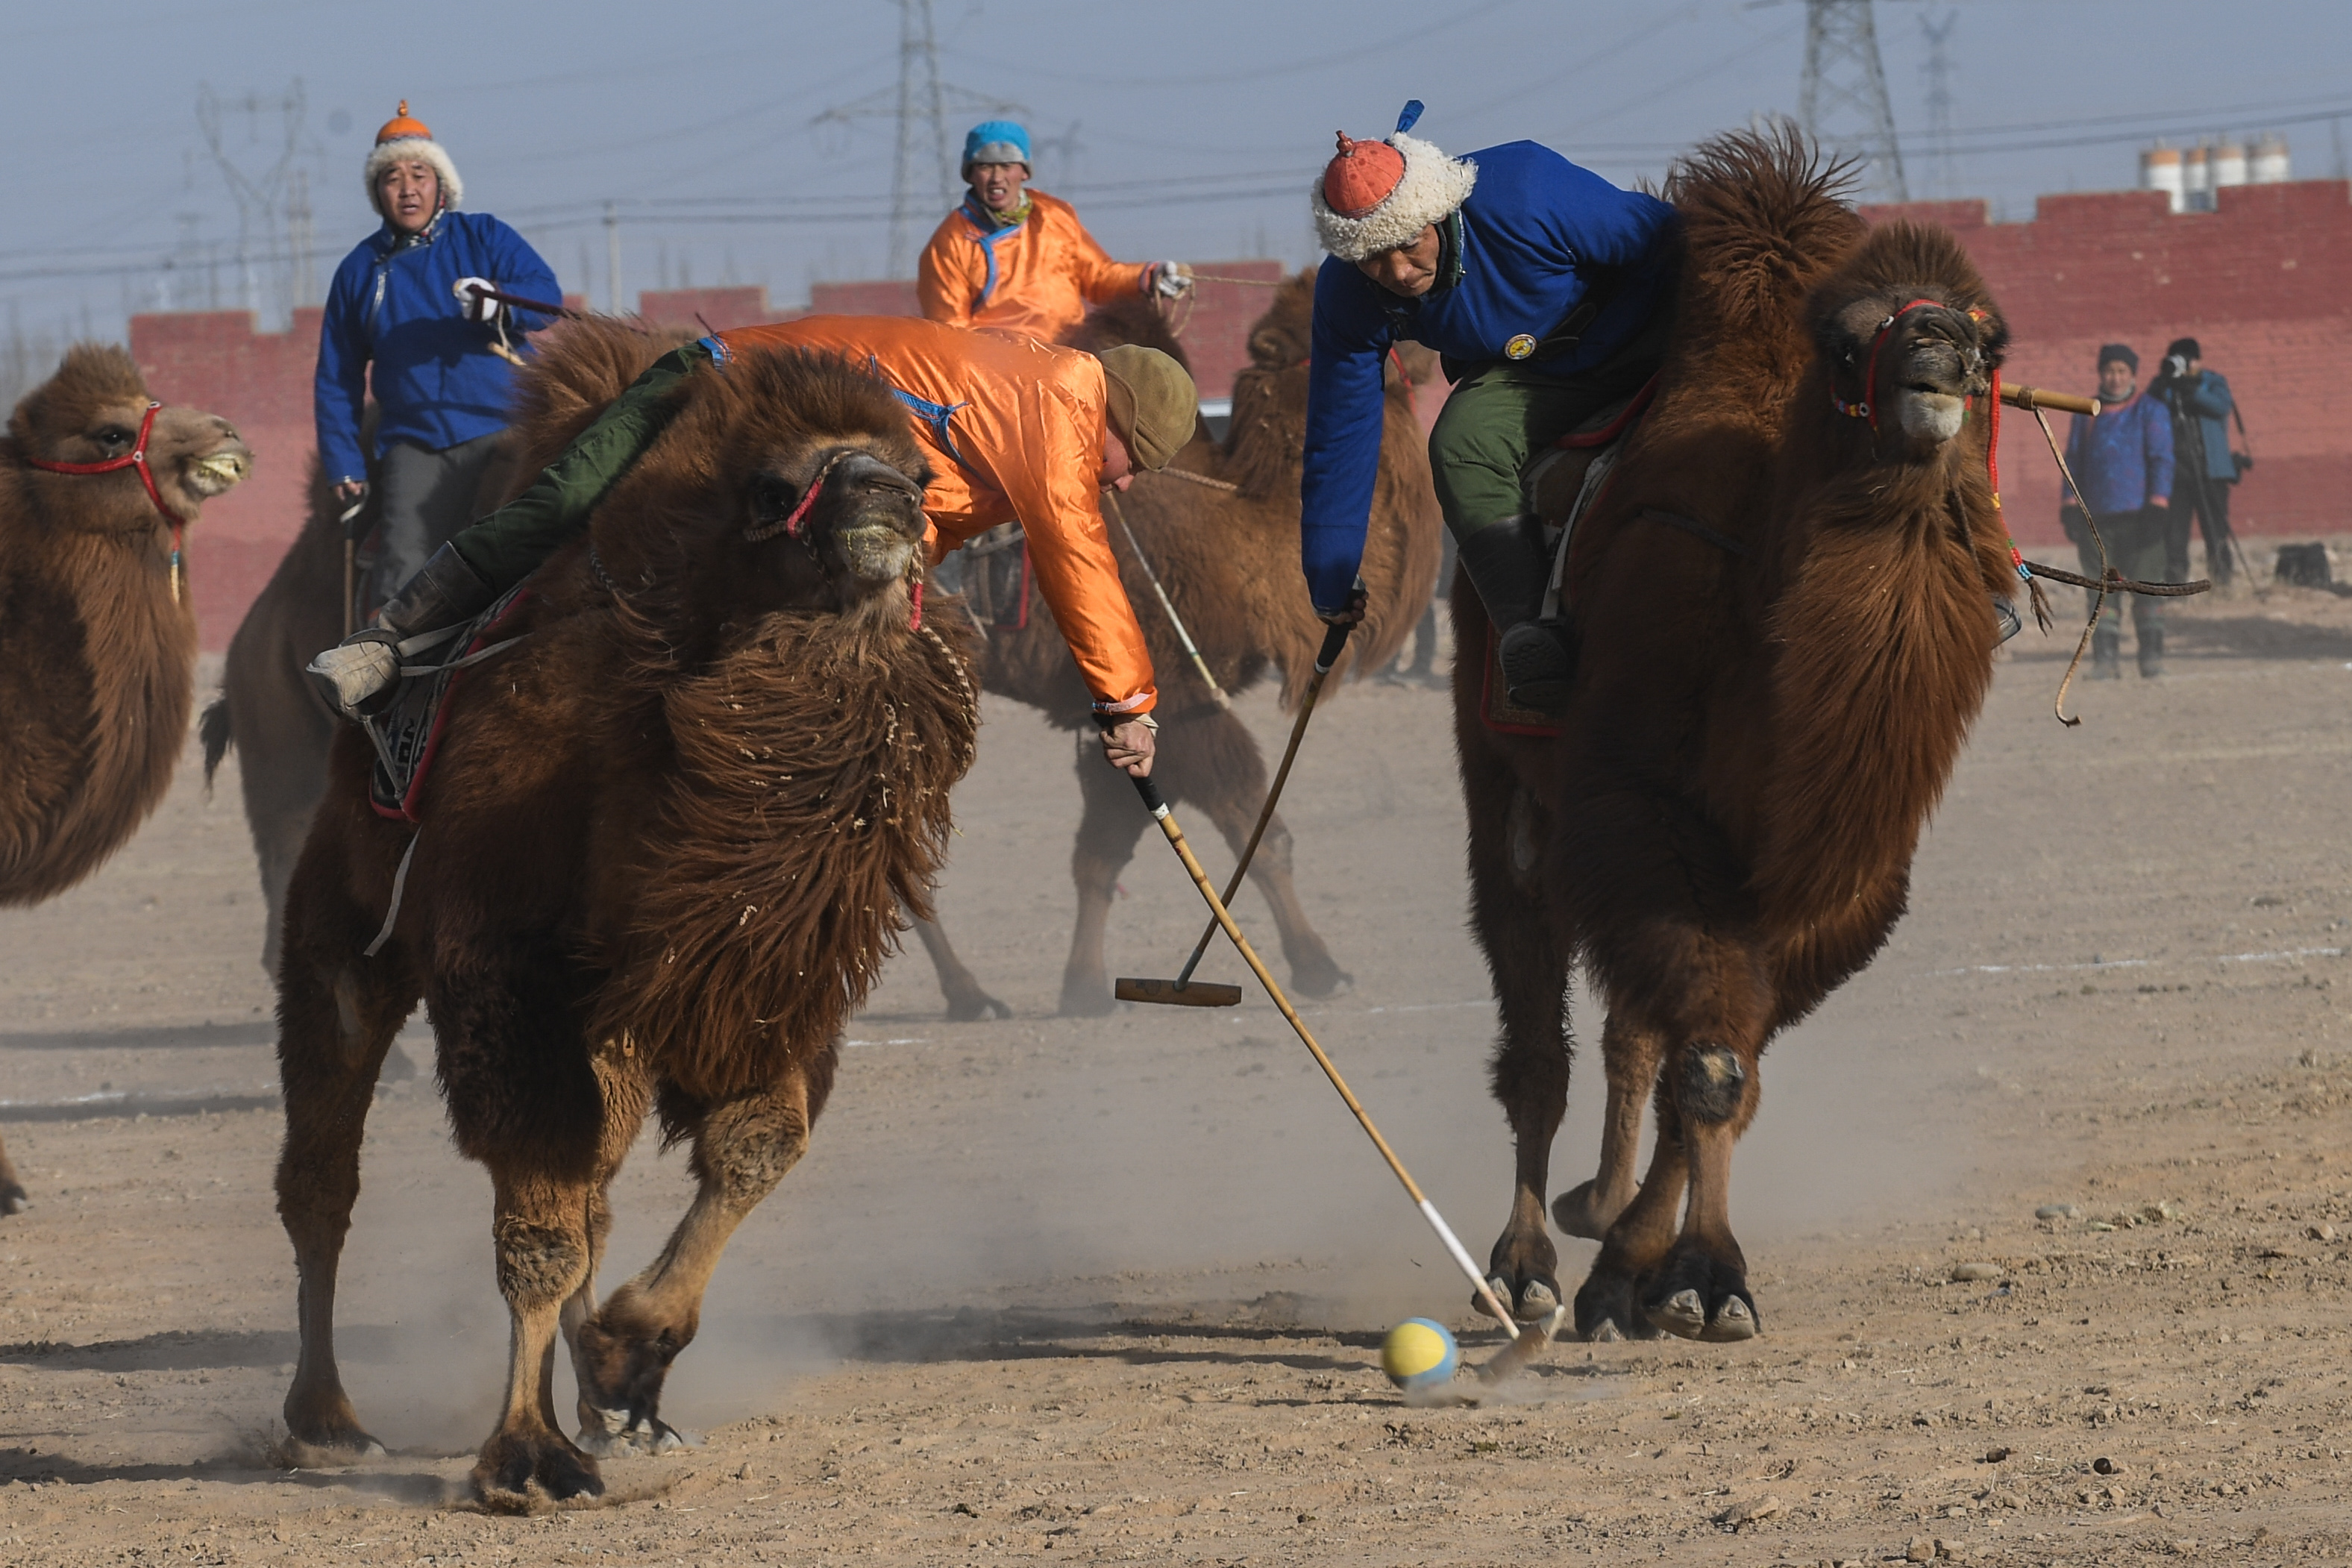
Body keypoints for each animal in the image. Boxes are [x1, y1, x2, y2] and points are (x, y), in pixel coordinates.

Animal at [272, 322, 973, 1504]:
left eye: (921, 474)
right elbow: (540, 1227)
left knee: (592, 1193)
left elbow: (755, 1146)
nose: (883, 498)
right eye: (775, 487)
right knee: (326, 1174)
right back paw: (327, 1420)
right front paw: (528, 1455)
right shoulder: (512, 981)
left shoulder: (754, 983)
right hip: (339, 925)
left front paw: (628, 1363)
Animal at [1449, 128, 2022, 1344]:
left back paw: (1593, 1217)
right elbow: (1711, 1059)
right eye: (1849, 339)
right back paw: (1521, 1266)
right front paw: (1695, 1276)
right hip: (1508, 769)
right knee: (1535, 1024)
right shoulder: (1638, 805)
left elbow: (1725, 1065)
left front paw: (1644, 1271)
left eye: (1988, 334)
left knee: (1637, 1031)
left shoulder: (1840, 888)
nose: (1938, 351)